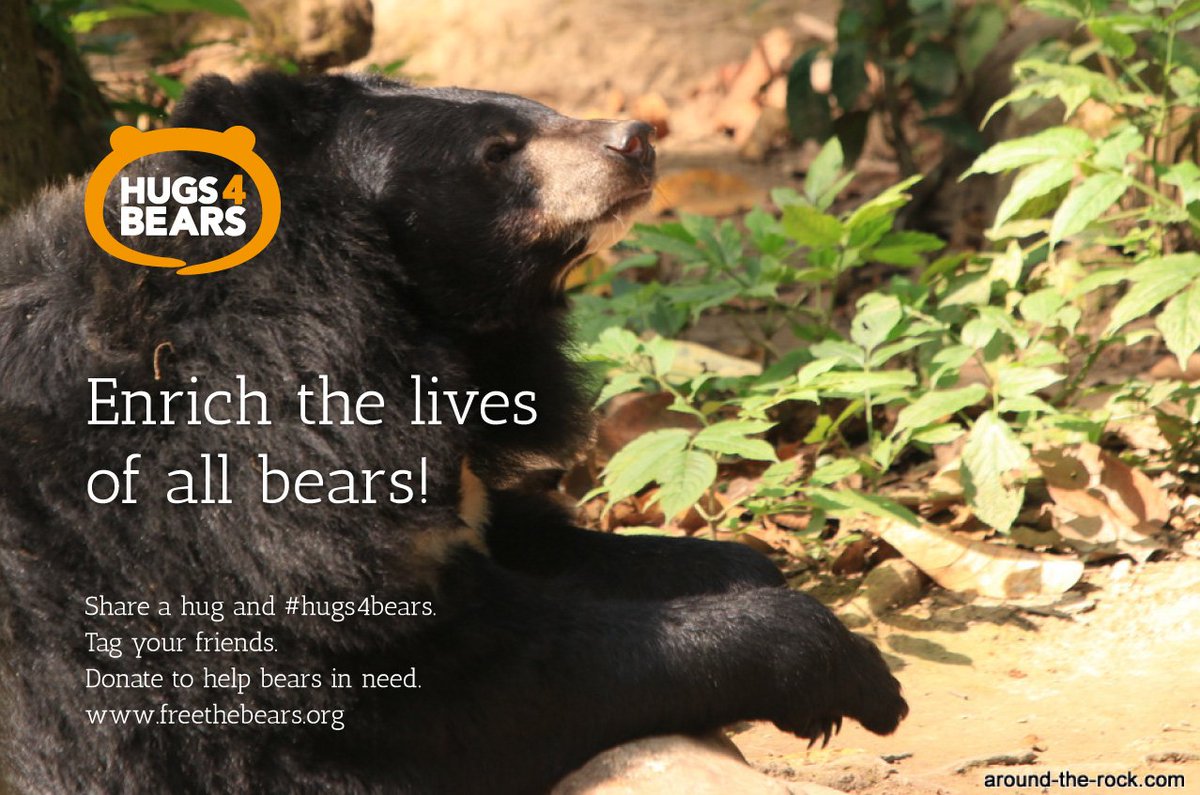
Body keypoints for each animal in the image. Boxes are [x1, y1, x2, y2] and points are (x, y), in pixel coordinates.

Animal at [0, 72, 907, 794]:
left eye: (536, 106)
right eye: (497, 152)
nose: (637, 139)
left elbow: (534, 538)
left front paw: (736, 563)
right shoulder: (232, 553)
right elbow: (484, 686)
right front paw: (841, 670)